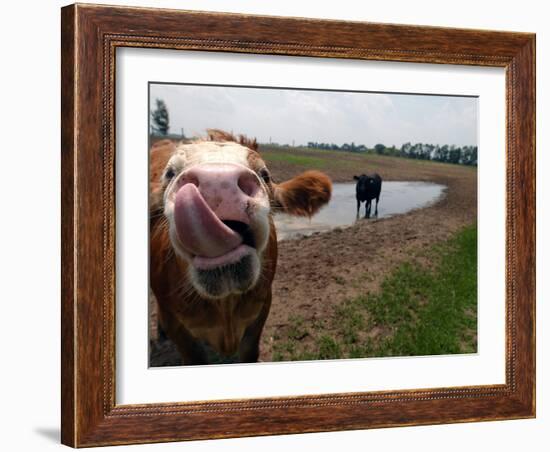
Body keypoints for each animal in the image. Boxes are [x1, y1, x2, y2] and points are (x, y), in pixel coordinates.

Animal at [150, 131, 332, 364]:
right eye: (170, 173)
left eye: (265, 174)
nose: (217, 183)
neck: (225, 306)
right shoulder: (176, 324)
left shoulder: (261, 310)